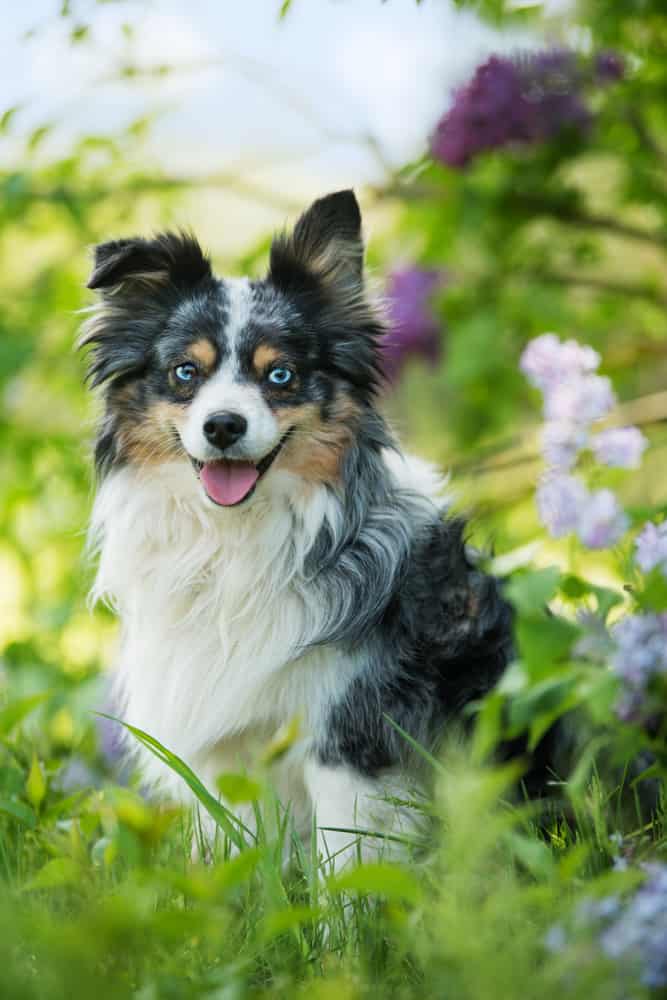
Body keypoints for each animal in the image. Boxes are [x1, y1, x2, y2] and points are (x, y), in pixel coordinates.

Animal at [81, 191, 516, 872]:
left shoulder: (349, 733)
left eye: (280, 375)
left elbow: (346, 863)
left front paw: (349, 907)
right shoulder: (228, 750)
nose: (223, 426)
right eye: (185, 372)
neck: (234, 538)